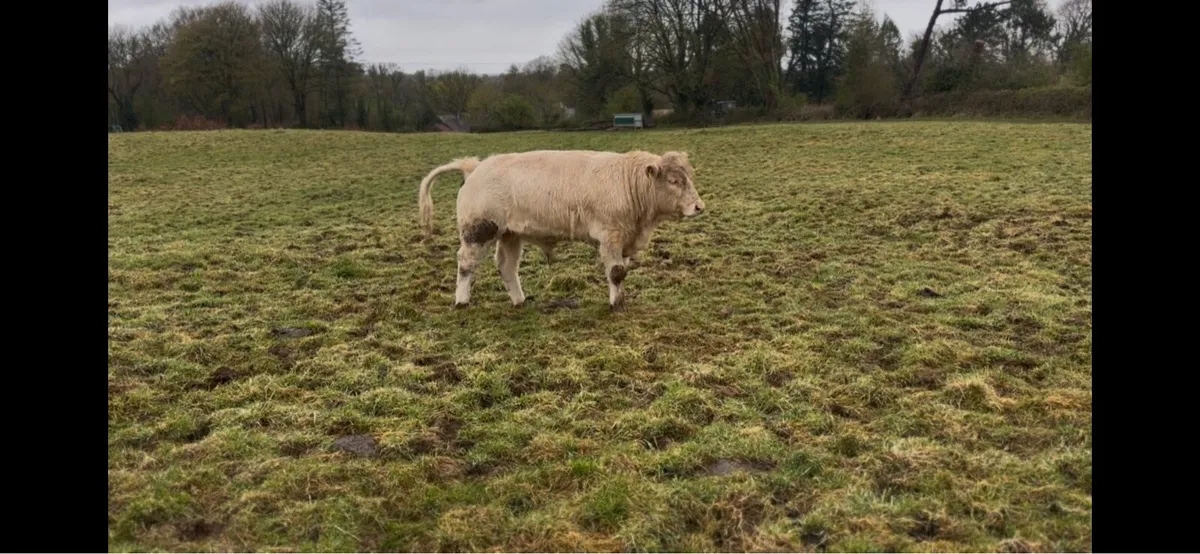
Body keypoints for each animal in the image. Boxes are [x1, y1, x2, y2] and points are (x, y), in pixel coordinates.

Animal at [417, 150, 706, 311]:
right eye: (673, 180)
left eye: (689, 178)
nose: (699, 206)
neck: (628, 183)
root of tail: (475, 167)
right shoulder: (610, 237)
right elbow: (615, 273)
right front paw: (615, 305)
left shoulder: (625, 240)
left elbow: (622, 272)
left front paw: (621, 299)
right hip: (478, 230)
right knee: (466, 263)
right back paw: (462, 301)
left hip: (510, 234)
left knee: (507, 267)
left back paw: (520, 301)